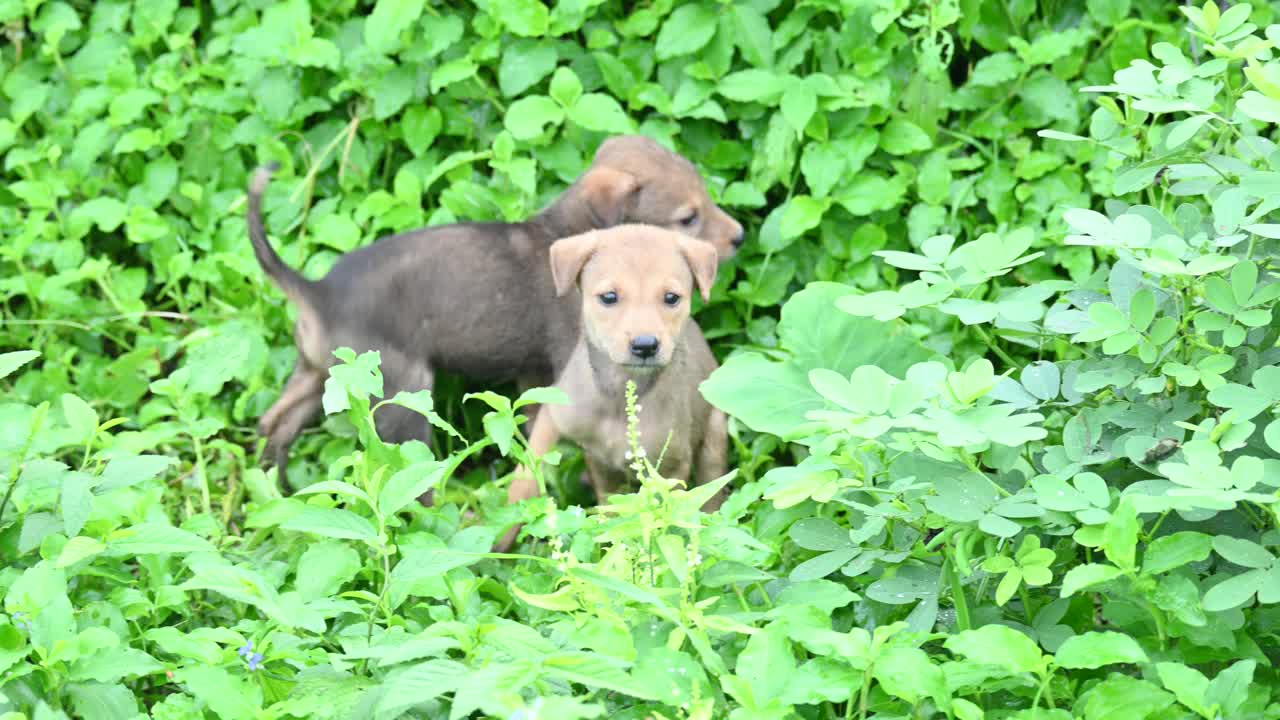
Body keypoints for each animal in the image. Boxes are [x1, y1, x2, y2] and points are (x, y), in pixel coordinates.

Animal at [245, 134, 747, 481]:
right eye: (688, 217)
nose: (740, 236)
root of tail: (317, 290)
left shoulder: (532, 373)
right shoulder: (564, 362)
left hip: (315, 375)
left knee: (273, 424)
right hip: (402, 394)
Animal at [491, 224, 727, 548]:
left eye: (671, 297)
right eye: (609, 297)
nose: (645, 345)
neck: (618, 394)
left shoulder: (670, 467)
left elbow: (665, 514)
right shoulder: (557, 418)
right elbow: (526, 477)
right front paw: (498, 539)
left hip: (714, 438)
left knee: (712, 493)